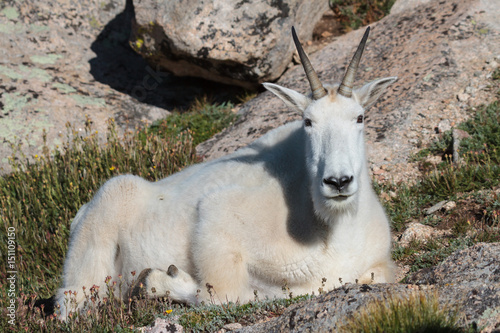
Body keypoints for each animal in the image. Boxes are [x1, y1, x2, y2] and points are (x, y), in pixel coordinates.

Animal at [55, 27, 398, 318]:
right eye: (308, 121)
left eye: (360, 117)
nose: (337, 182)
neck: (333, 230)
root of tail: (80, 214)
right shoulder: (217, 216)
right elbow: (223, 295)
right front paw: (157, 280)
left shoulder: (377, 266)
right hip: (92, 249)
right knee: (70, 303)